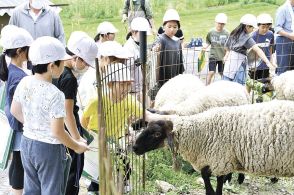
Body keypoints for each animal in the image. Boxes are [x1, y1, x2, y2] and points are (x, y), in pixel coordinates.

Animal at [134, 100, 294, 195]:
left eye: (157, 134)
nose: (135, 148)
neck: (200, 133)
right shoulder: (217, 160)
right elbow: (205, 175)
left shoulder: (221, 160)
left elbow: (212, 182)